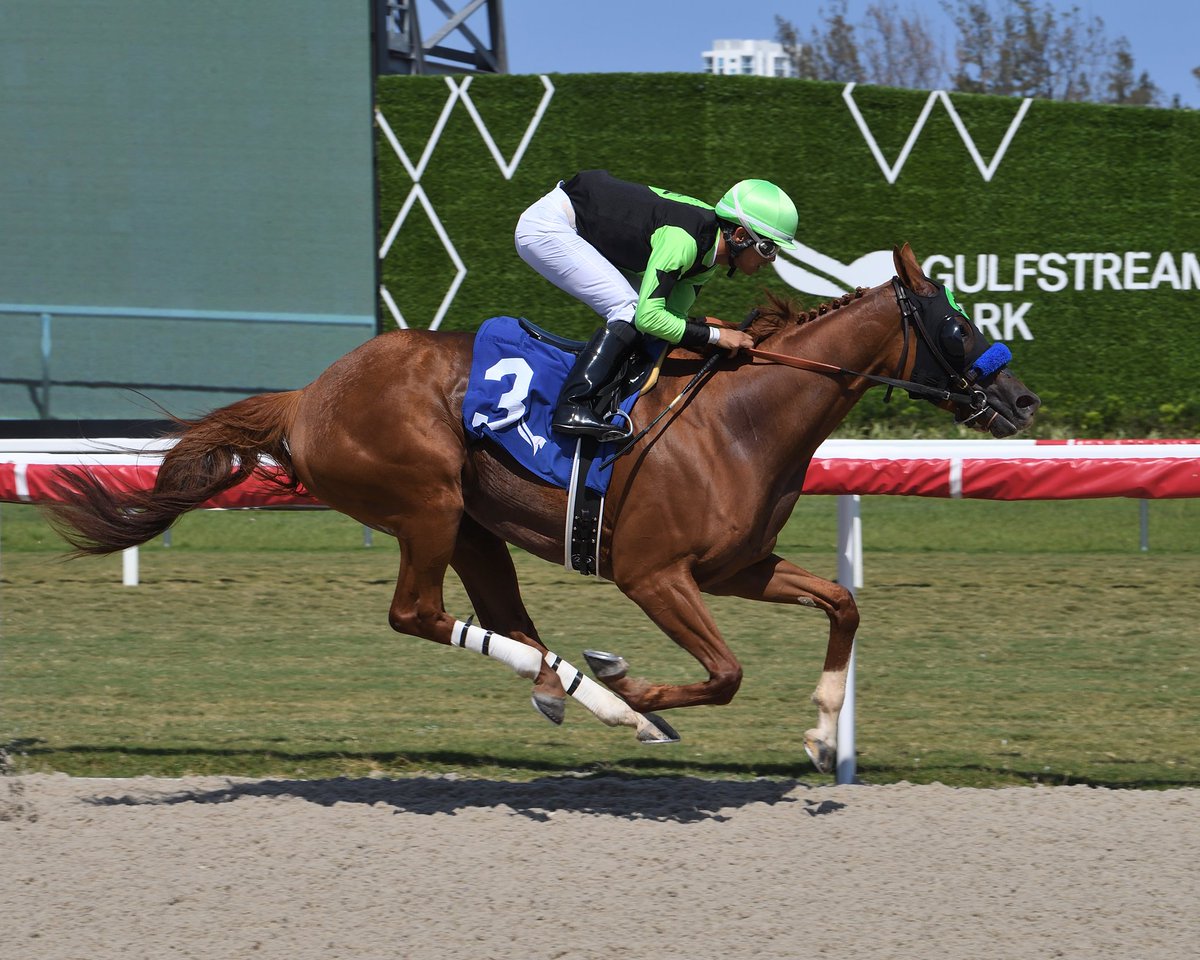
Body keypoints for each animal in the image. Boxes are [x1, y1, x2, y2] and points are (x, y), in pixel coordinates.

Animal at [46, 246, 1036, 772]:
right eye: (957, 326)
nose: (1023, 400)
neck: (743, 419)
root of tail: (307, 397)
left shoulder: (737, 567)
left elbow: (843, 605)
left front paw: (824, 734)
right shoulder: (652, 574)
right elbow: (724, 672)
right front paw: (640, 691)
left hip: (474, 528)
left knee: (506, 621)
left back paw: (575, 690)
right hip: (427, 502)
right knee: (418, 614)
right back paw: (604, 698)